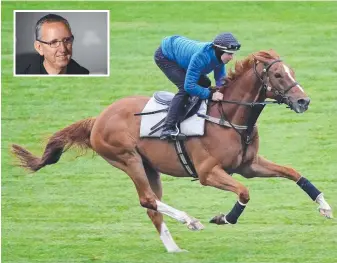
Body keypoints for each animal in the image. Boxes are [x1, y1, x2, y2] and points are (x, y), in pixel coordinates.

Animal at [12, 50, 330, 254]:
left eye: (291, 72)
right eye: (277, 74)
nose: (303, 101)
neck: (229, 117)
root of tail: (97, 119)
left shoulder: (249, 165)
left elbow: (293, 173)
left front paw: (324, 205)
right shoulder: (208, 173)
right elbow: (244, 192)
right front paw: (224, 218)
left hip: (149, 167)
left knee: (152, 207)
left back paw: (174, 248)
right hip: (127, 158)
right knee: (147, 199)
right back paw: (190, 221)